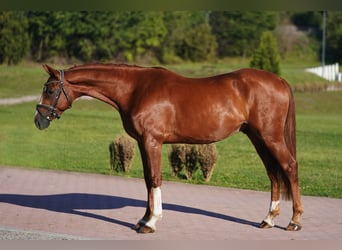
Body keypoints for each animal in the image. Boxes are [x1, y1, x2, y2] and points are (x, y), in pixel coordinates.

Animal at [34, 63, 302, 233]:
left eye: (50, 89)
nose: (39, 120)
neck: (135, 89)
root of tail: (279, 81)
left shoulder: (152, 141)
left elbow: (155, 178)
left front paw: (151, 222)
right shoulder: (143, 142)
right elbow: (146, 180)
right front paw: (143, 219)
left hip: (270, 137)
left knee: (289, 167)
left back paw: (294, 221)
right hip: (258, 138)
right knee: (273, 172)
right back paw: (268, 219)